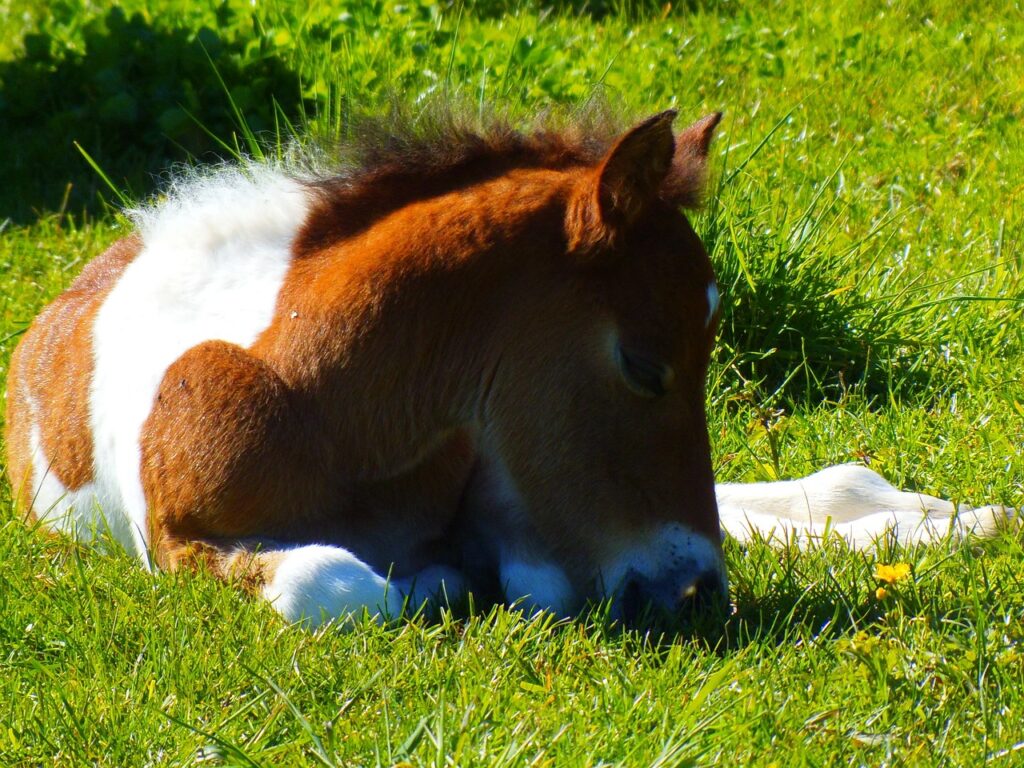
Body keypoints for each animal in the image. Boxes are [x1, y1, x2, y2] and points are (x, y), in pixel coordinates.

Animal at [4, 108, 1015, 627]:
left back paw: (939, 515)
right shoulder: (176, 539)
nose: (695, 595)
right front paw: (433, 581)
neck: (324, 408)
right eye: (642, 364)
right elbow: (336, 584)